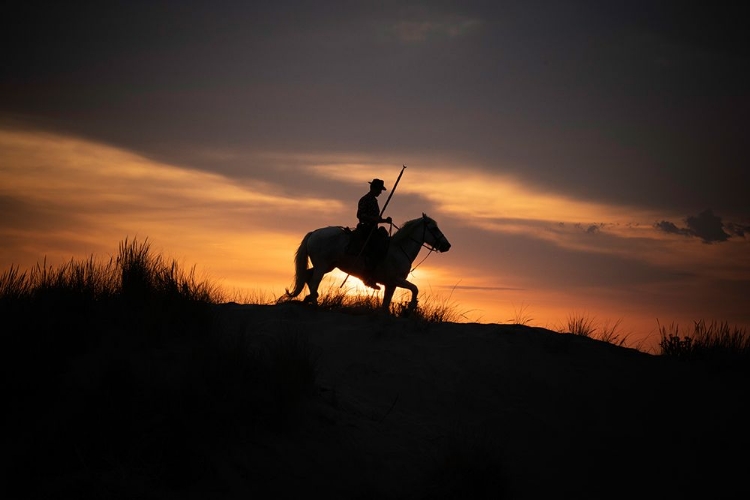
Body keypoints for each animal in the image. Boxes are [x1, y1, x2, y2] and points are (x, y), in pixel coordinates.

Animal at [284, 212, 452, 312]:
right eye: (434, 228)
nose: (447, 246)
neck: (399, 249)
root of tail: (314, 233)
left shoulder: (391, 284)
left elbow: (386, 303)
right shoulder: (395, 279)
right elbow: (415, 289)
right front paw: (410, 308)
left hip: (328, 266)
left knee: (307, 276)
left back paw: (308, 299)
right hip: (322, 266)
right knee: (313, 283)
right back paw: (315, 305)